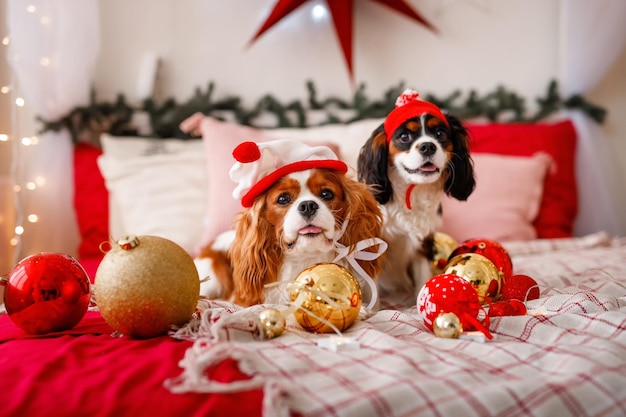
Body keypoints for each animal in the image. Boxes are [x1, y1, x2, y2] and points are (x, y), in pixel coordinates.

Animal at [356, 90, 472, 300]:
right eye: (404, 137)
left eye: (440, 134)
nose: (428, 146)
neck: (413, 191)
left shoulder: (424, 242)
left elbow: (423, 275)